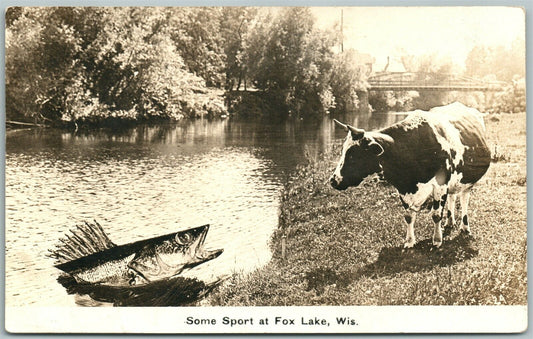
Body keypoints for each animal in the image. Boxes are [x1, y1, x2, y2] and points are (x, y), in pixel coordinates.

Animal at [328, 102, 490, 248]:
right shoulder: (403, 188)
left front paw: (437, 240)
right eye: (343, 151)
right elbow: (408, 217)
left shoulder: (440, 184)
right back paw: (450, 222)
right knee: (452, 197)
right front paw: (409, 242)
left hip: (468, 182)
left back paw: (464, 227)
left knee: (463, 200)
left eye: (353, 155)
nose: (333, 180)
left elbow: (436, 215)